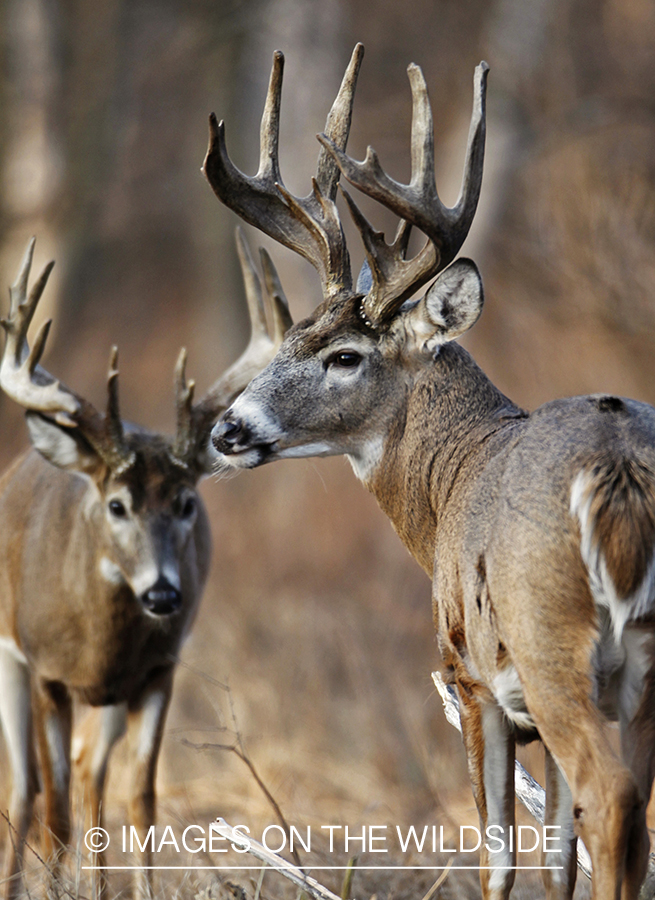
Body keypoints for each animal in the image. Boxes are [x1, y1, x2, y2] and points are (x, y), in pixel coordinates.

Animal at [0, 234, 290, 900]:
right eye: (117, 504)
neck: (93, 643)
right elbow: (53, 812)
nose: (162, 595)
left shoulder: (157, 670)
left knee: (90, 771)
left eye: (186, 503)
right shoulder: (47, 670)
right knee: (25, 790)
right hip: (9, 655)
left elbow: (141, 798)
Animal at [208, 45, 655, 900]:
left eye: (344, 356)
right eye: (289, 338)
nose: (226, 429)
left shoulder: (471, 677)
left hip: (550, 642)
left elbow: (499, 854)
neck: (450, 482)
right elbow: (556, 857)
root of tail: (616, 467)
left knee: (613, 799)